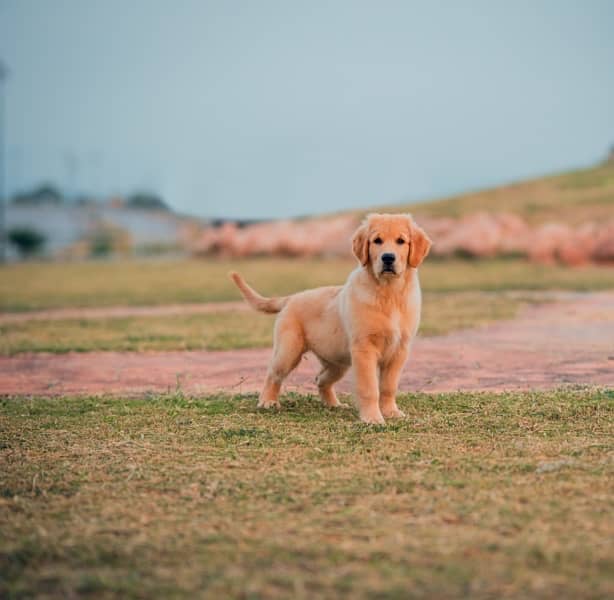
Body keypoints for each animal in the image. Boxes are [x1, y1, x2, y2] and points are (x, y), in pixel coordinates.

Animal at [231, 213, 434, 424]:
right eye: (377, 241)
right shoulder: (364, 349)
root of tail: (292, 298)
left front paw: (390, 412)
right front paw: (372, 418)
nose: (388, 258)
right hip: (289, 350)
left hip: (337, 362)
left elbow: (388, 386)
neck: (389, 293)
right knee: (273, 374)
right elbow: (369, 388)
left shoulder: (399, 350)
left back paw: (333, 404)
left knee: (320, 379)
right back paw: (267, 401)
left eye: (401, 241)